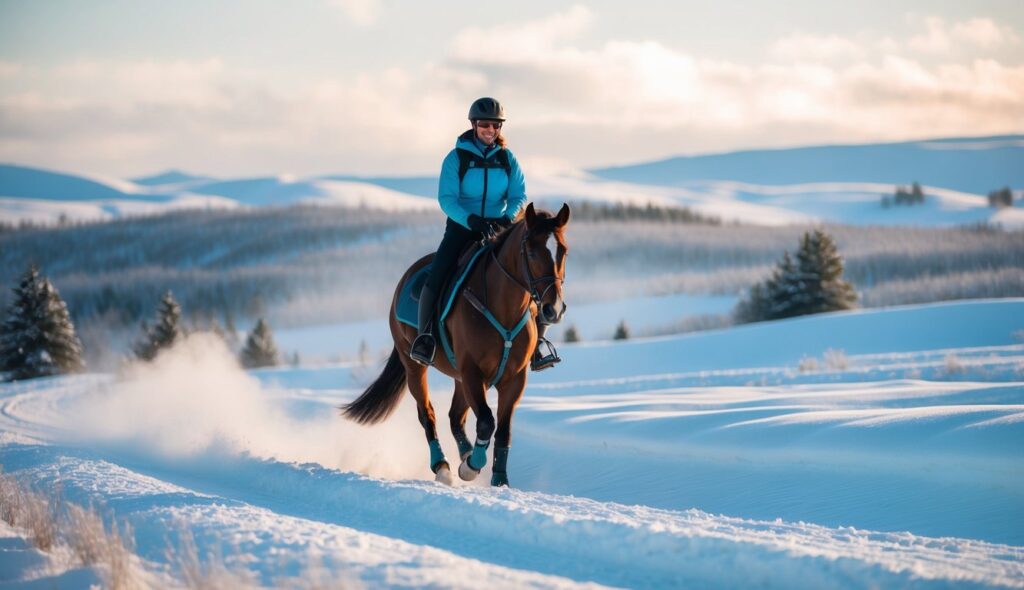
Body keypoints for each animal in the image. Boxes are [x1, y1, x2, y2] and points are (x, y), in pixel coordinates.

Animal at [342, 203, 569, 487]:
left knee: (455, 416)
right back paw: (443, 466)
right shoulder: (472, 371)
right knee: (428, 414)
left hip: (459, 378)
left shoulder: (514, 378)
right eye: (531, 251)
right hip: (416, 367)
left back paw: (465, 453)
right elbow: (486, 421)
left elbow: (503, 429)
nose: (553, 309)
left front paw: (499, 480)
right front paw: (471, 467)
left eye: (563, 250)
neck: (503, 307)